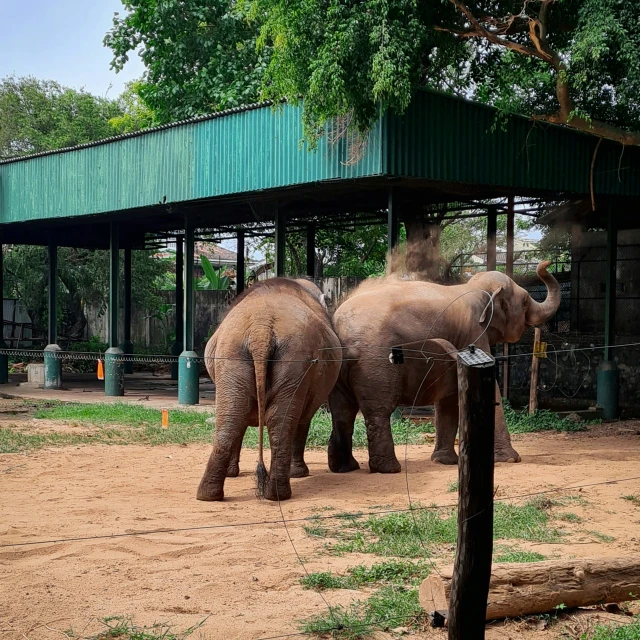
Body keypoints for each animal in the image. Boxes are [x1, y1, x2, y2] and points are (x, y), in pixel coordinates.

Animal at [198, 278, 342, 502]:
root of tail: (261, 329)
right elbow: (304, 417)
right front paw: (299, 474)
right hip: (288, 357)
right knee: (276, 419)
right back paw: (278, 492)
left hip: (237, 356)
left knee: (234, 416)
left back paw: (211, 495)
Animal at [328, 260, 556, 476]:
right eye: (525, 302)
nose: (546, 263)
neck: (473, 287)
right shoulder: (472, 333)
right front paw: (510, 459)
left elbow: (449, 397)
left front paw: (443, 461)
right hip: (376, 362)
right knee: (378, 410)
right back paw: (389, 469)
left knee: (343, 412)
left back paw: (345, 467)